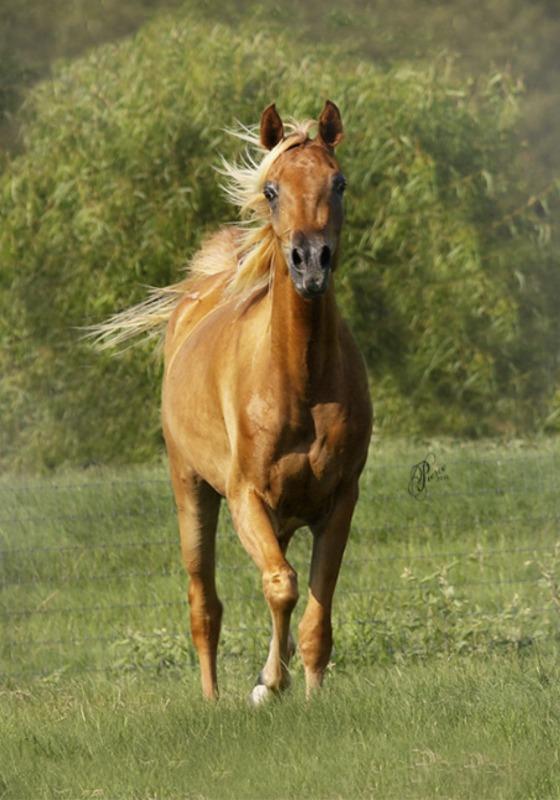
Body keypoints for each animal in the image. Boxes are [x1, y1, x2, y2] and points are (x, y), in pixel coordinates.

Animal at [93, 100, 373, 702]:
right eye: (271, 189)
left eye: (338, 182)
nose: (310, 262)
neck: (299, 381)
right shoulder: (247, 496)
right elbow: (281, 586)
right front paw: (269, 685)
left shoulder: (340, 499)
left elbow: (315, 616)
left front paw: (306, 691)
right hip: (191, 491)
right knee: (205, 605)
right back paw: (212, 698)